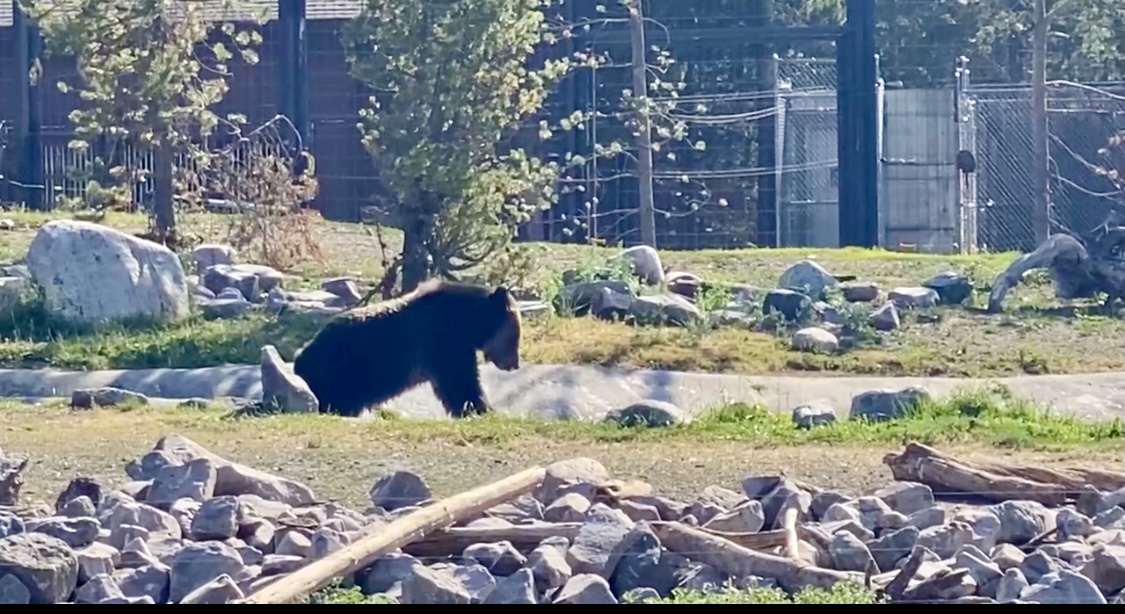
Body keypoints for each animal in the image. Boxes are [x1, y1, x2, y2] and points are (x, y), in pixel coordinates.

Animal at [291, 278, 522, 418]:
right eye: (515, 337)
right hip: (347, 369)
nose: (514, 364)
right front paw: (480, 409)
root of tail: (301, 356)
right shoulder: (443, 338)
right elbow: (459, 382)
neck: (469, 322)